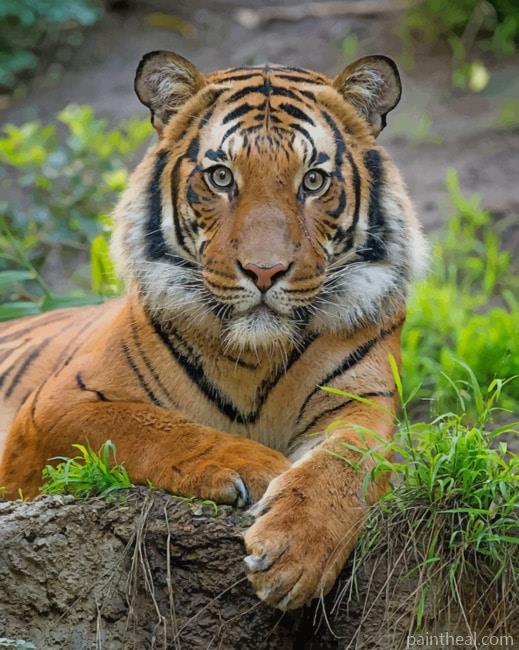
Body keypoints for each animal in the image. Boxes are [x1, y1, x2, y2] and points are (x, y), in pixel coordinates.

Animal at [0, 51, 426, 610]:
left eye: (313, 181)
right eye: (222, 177)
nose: (265, 271)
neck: (253, 356)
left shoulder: (361, 403)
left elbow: (348, 463)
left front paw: (295, 553)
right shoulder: (57, 406)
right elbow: (148, 426)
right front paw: (258, 466)